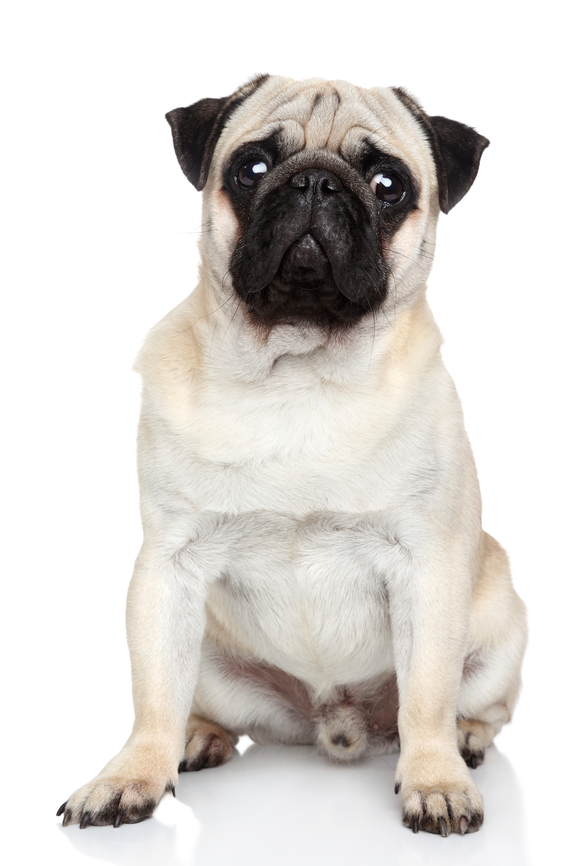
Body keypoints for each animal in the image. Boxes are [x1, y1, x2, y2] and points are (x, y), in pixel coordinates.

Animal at [58, 76, 528, 836]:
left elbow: (427, 693)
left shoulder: (426, 570)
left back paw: (463, 741)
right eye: (250, 168)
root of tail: (336, 723)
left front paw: (434, 779)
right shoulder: (167, 569)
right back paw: (196, 738)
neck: (298, 373)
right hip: (210, 656)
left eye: (388, 184)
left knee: (468, 705)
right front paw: (131, 776)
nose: (315, 181)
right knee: (194, 702)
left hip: (499, 635)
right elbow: (151, 695)